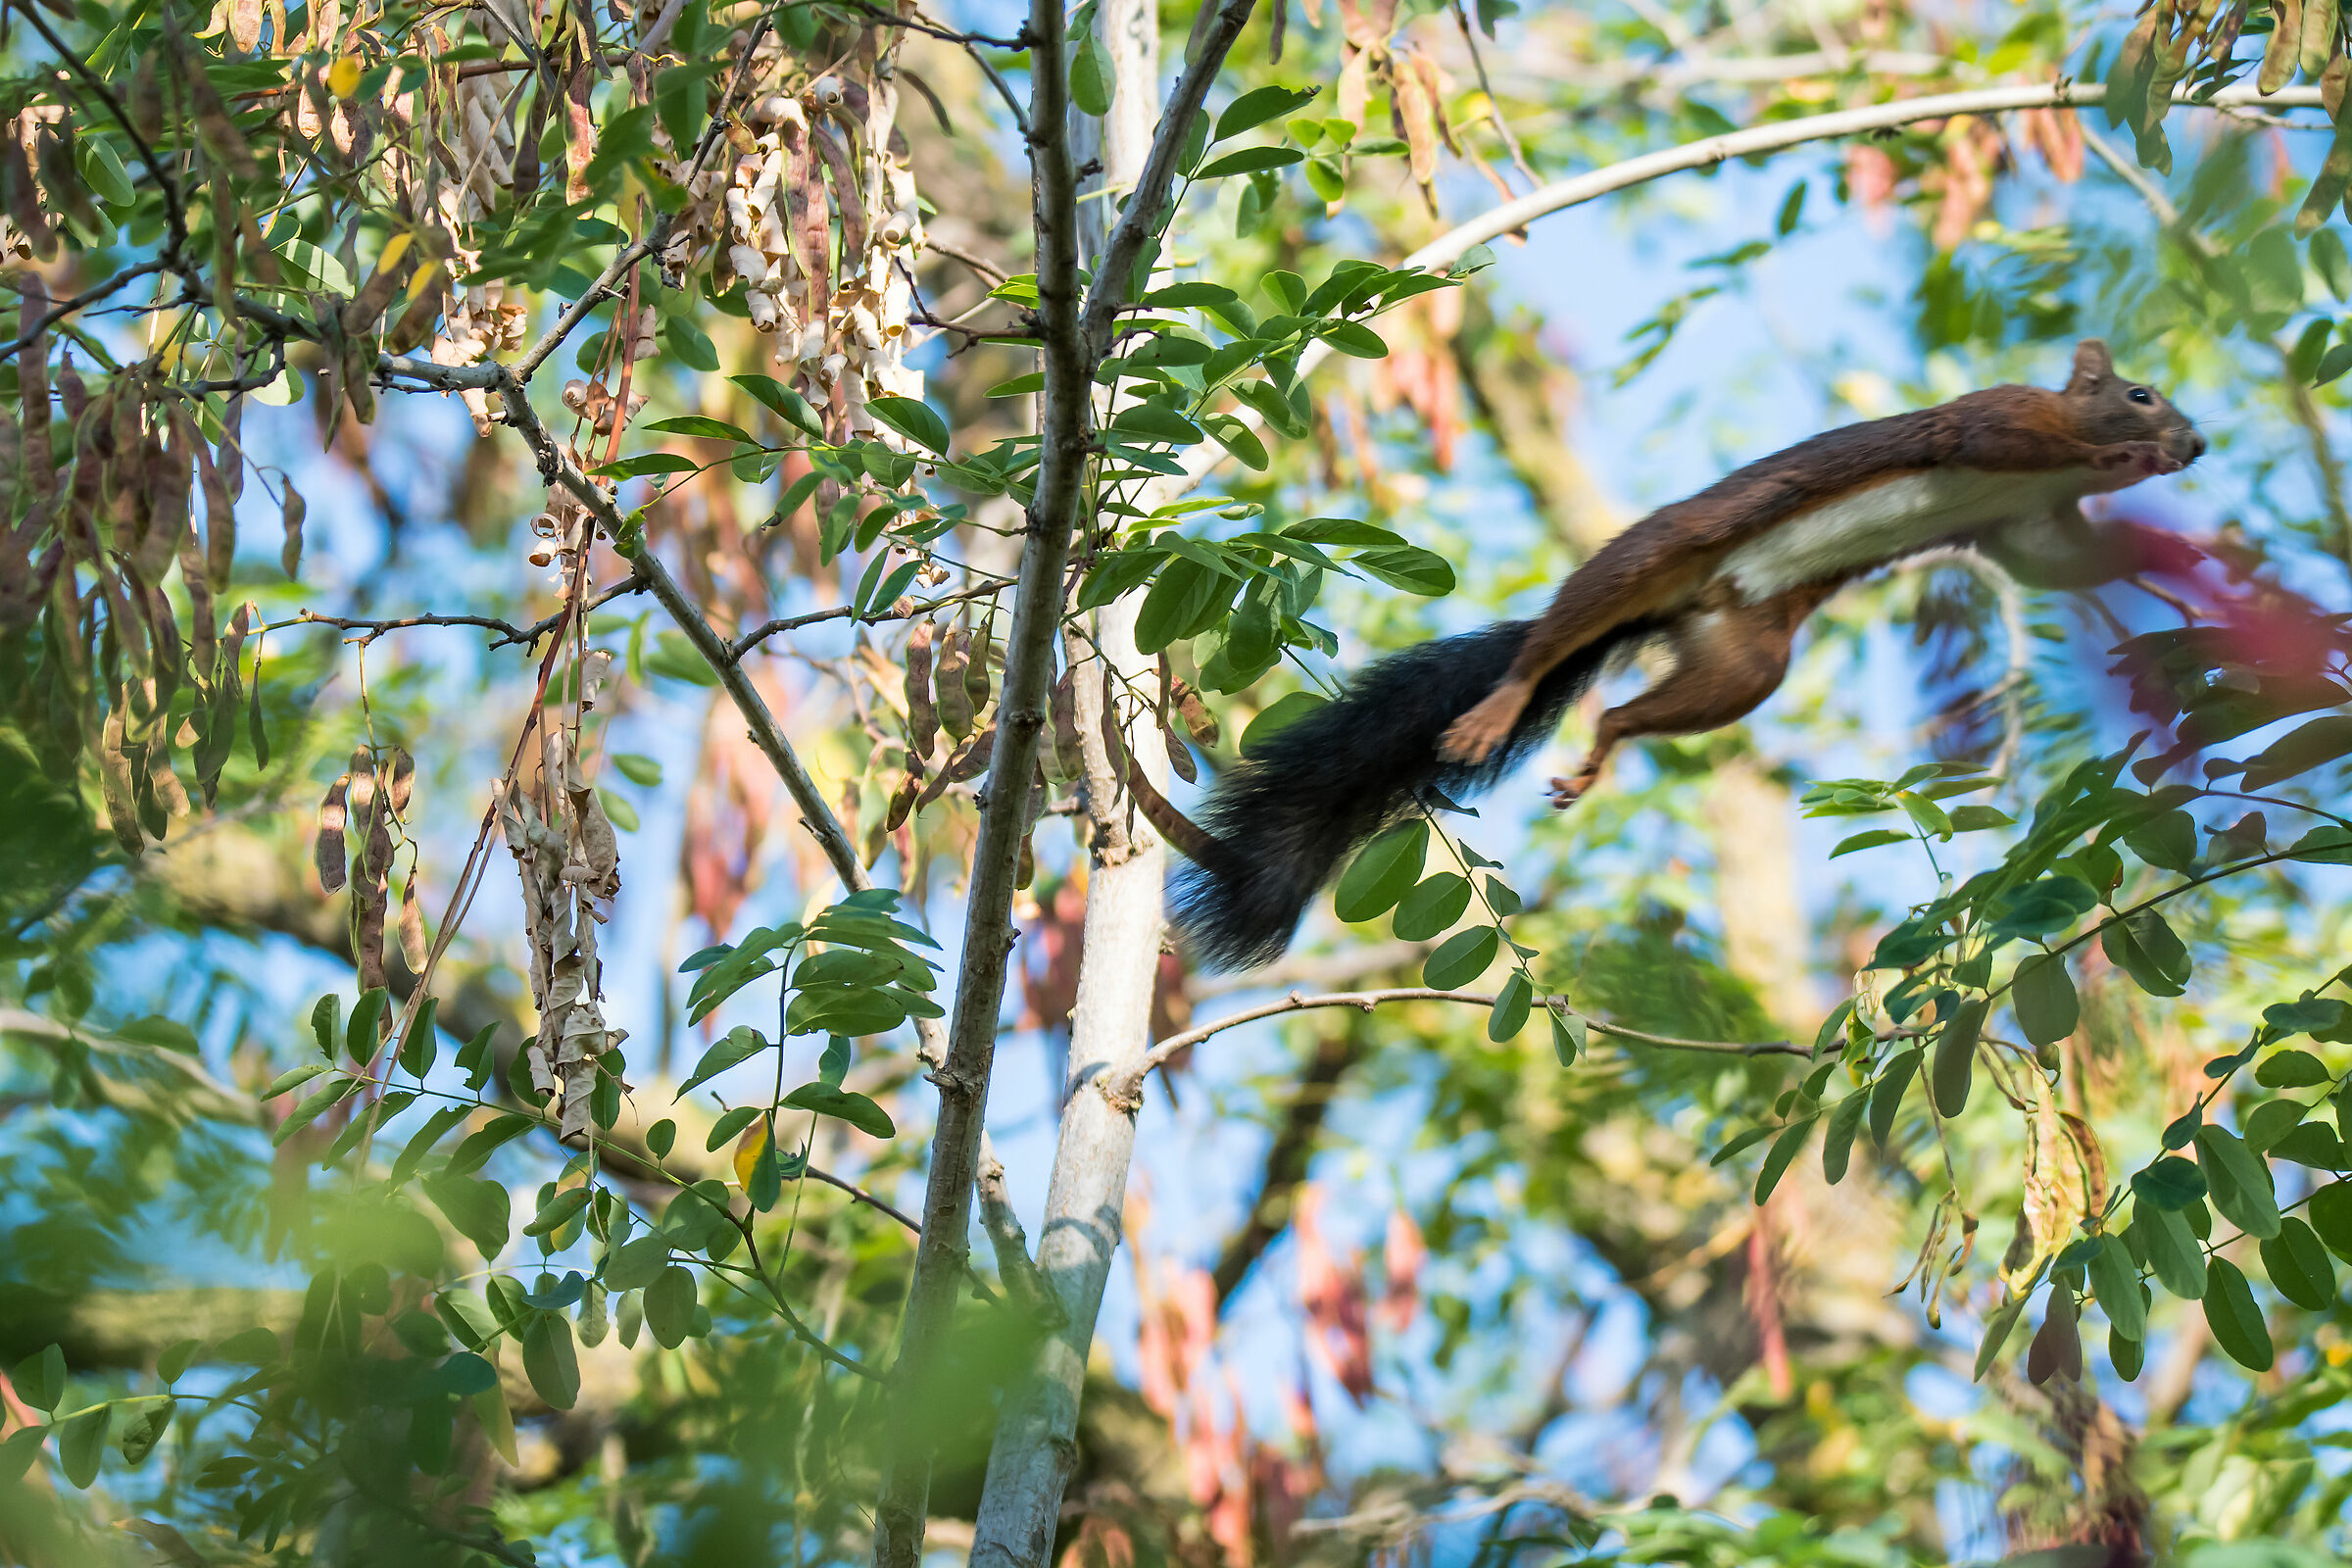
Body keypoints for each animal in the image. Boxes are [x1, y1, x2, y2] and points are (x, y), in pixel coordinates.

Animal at [1148, 339, 2207, 971]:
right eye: (2140, 390)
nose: (2193, 445)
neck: (2061, 460)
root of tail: (1686, 605)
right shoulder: (2001, 425)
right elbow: (1991, 438)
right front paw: (2126, 464)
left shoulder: (2035, 527)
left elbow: (2068, 562)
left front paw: (2186, 562)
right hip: (1653, 556)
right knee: (1550, 640)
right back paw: (1504, 700)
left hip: (1744, 666)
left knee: (1634, 708)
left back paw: (1601, 750)